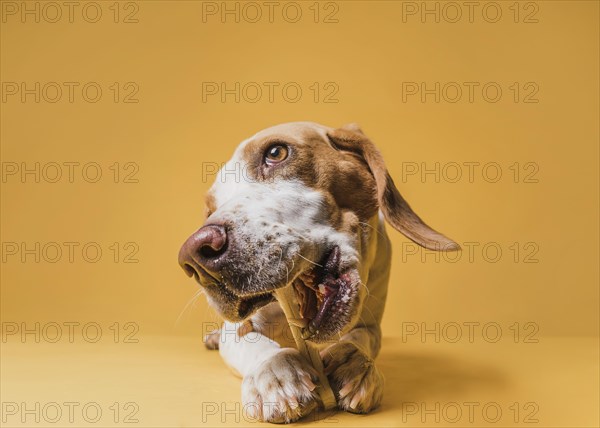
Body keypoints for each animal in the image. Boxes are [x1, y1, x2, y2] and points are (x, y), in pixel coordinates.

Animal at [178, 122, 460, 422]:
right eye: (210, 211)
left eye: (276, 152)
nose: (195, 257)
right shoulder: (237, 330)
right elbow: (253, 344)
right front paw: (277, 373)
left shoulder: (371, 322)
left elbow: (364, 338)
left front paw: (354, 362)